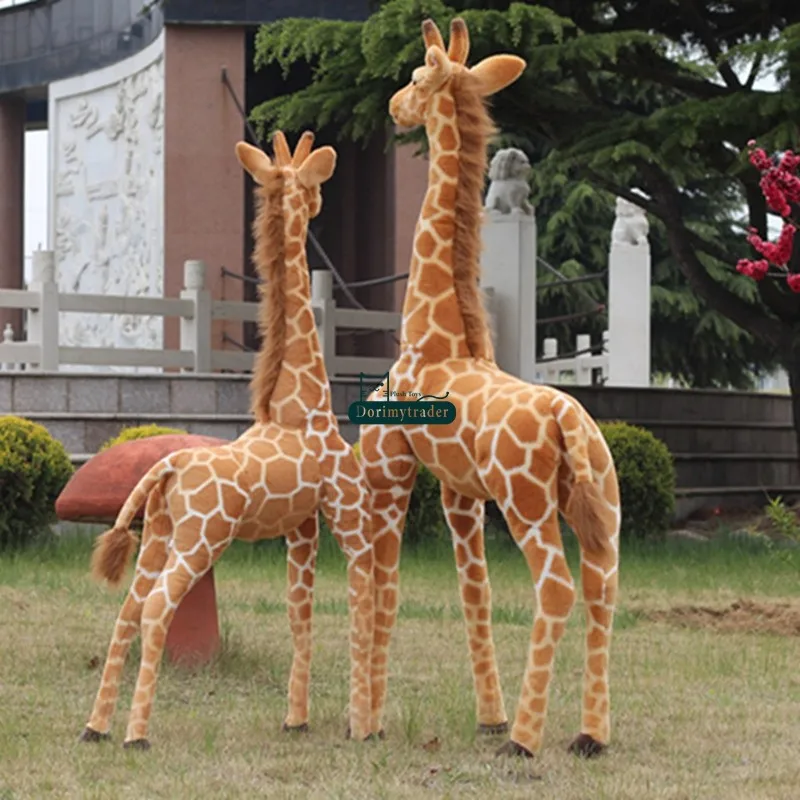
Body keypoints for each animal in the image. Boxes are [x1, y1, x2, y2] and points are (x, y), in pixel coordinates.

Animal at [79, 130, 376, 750]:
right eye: (314, 184)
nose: (319, 205)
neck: (303, 405)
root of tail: (164, 470)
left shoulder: (301, 526)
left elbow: (299, 613)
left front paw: (296, 720)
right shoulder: (347, 513)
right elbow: (360, 604)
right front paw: (363, 727)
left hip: (158, 536)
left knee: (127, 611)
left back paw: (96, 727)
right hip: (201, 539)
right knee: (156, 609)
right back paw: (137, 734)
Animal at [358, 18, 620, 760]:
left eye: (418, 76)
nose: (394, 108)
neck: (436, 335)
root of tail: (570, 423)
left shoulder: (394, 466)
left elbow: (387, 586)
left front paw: (371, 721)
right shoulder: (458, 488)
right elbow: (471, 590)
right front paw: (489, 715)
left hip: (527, 501)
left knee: (556, 589)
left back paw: (528, 742)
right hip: (600, 507)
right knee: (602, 591)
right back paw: (588, 735)